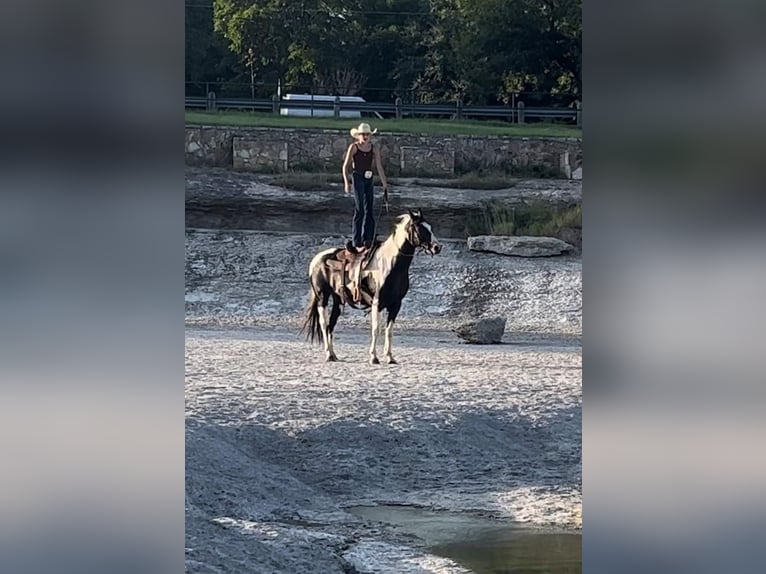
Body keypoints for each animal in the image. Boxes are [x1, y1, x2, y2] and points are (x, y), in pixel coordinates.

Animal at [302, 210, 444, 364]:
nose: (437, 247)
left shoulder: (396, 304)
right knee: (324, 324)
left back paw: (333, 355)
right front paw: (374, 357)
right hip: (322, 297)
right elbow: (376, 329)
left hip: (338, 300)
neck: (390, 264)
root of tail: (317, 259)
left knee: (330, 326)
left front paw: (390, 357)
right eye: (420, 228)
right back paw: (328, 354)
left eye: (429, 227)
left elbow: (389, 331)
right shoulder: (377, 303)